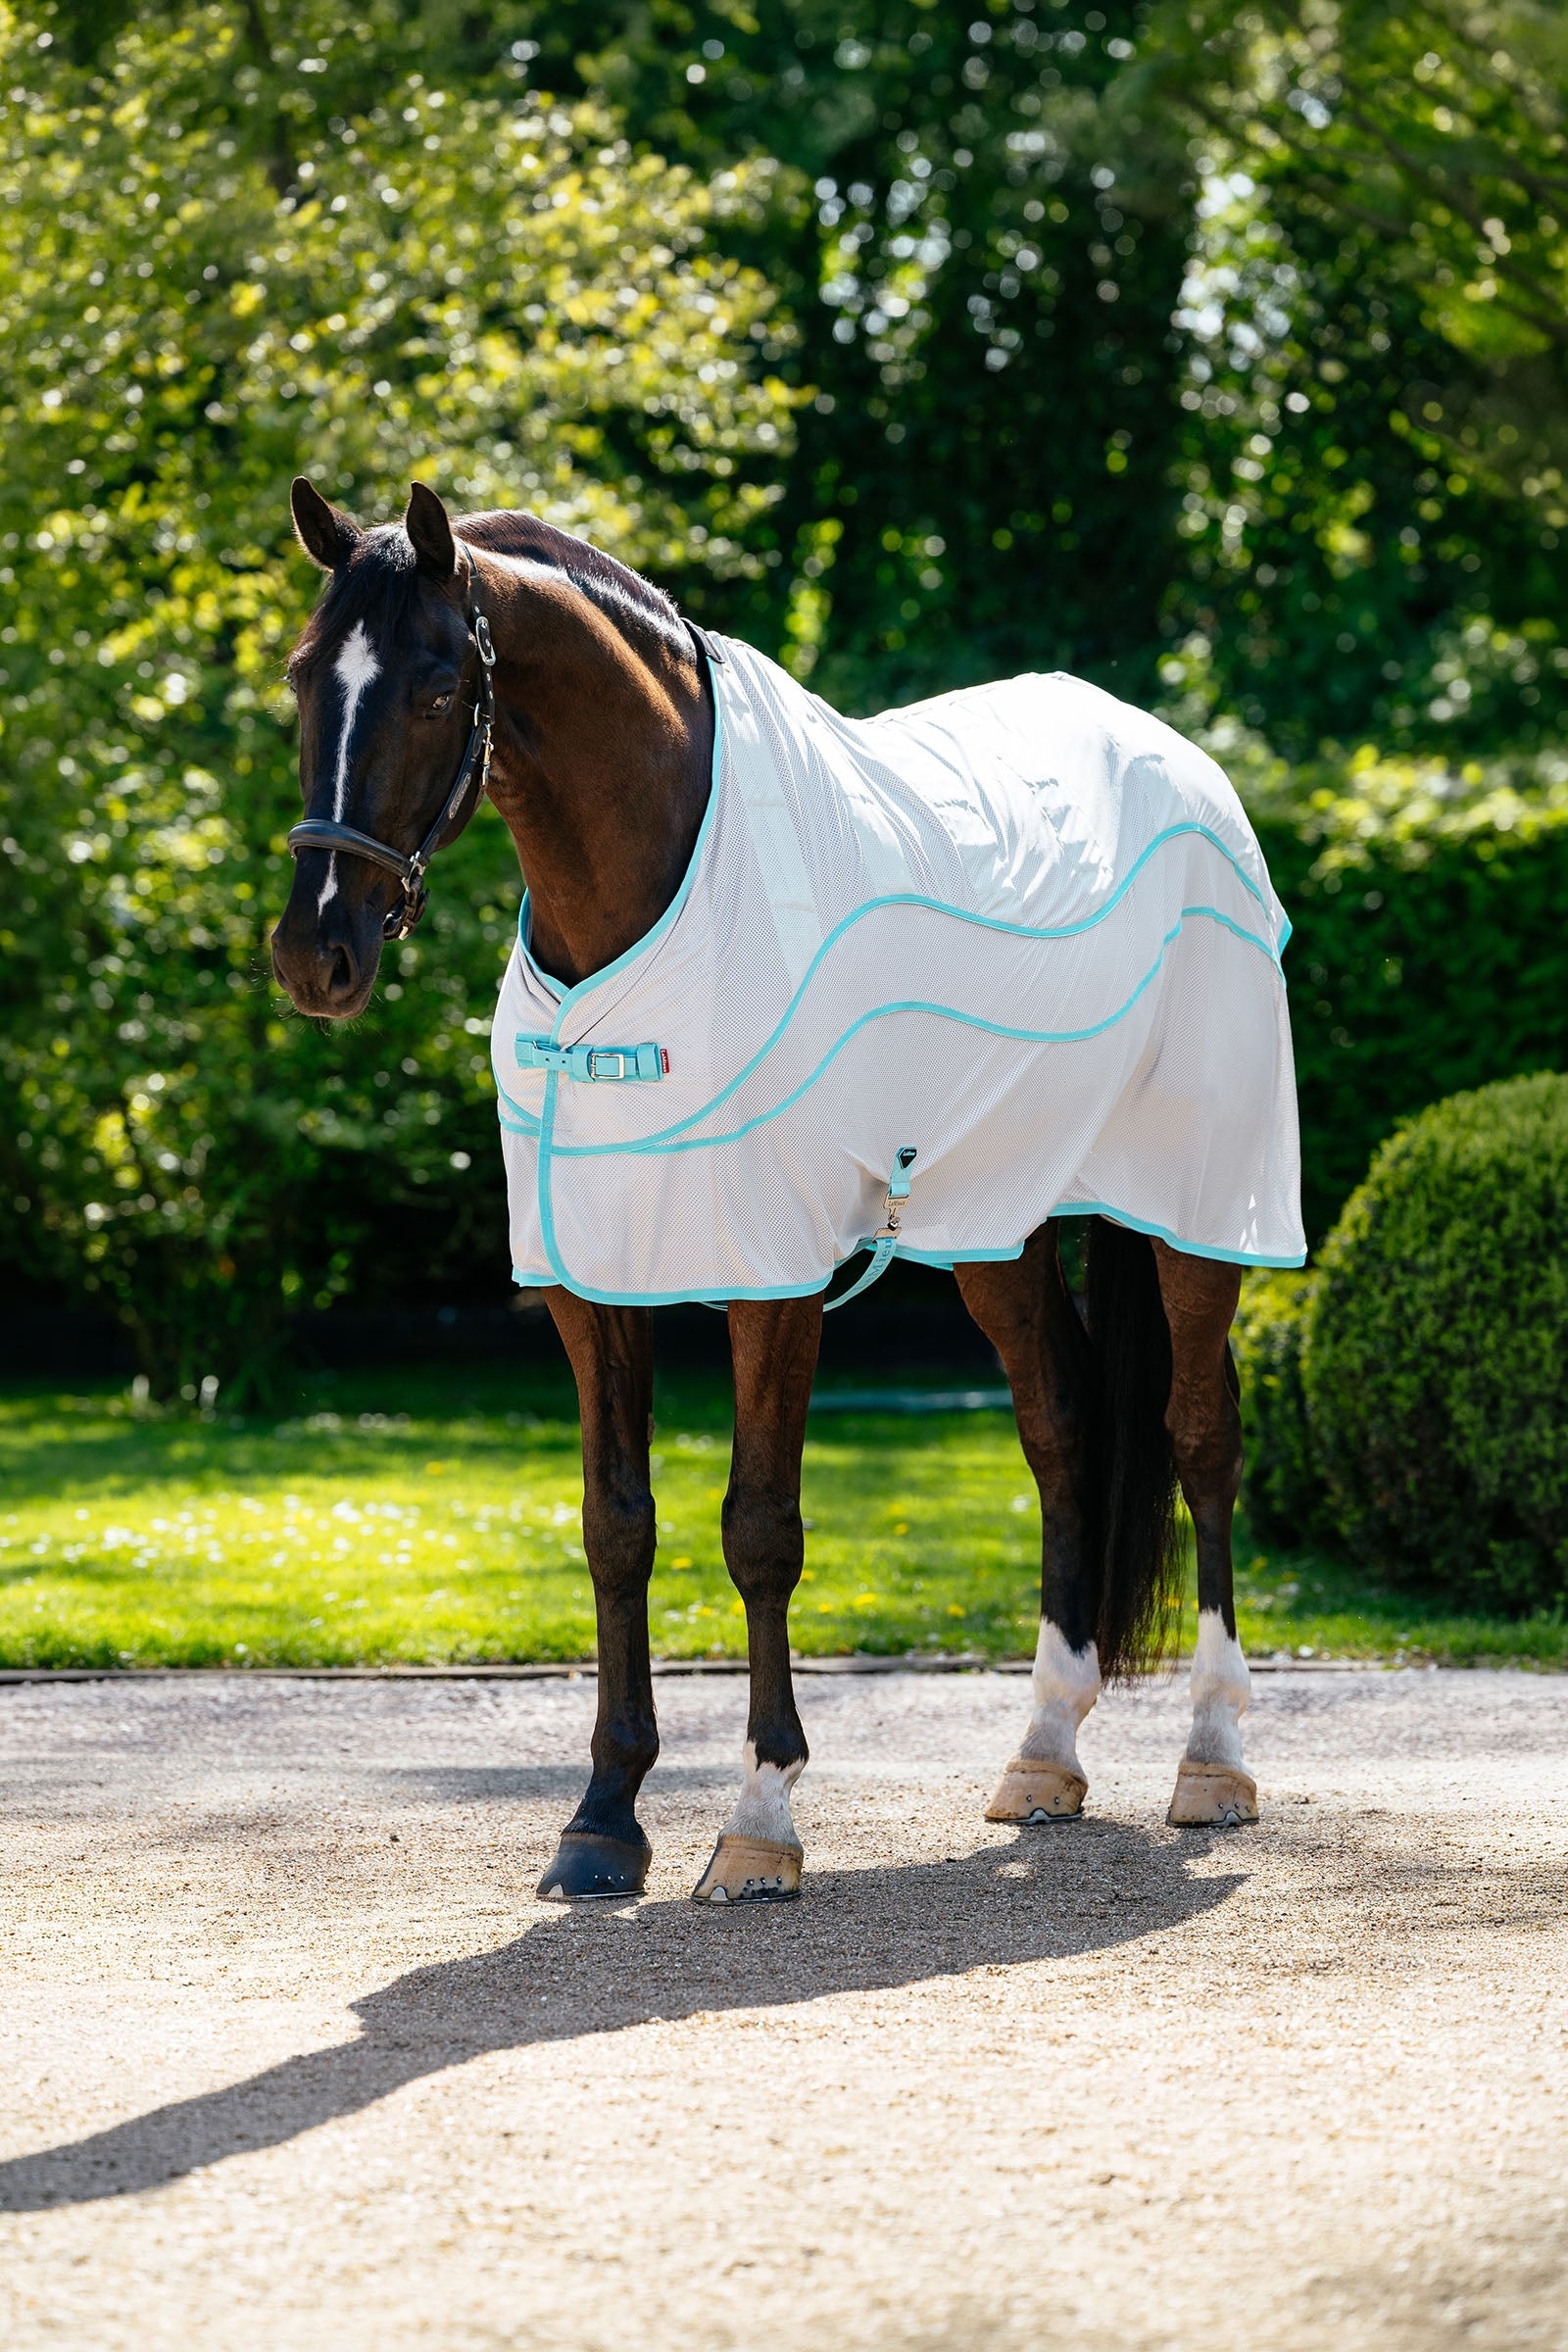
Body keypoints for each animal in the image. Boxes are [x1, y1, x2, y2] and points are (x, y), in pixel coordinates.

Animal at [272, 476, 1304, 1904]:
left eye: (434, 685)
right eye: (303, 676)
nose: (316, 951)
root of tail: (1179, 761)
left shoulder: (773, 1275)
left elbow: (758, 1527)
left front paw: (759, 1820)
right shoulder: (594, 1280)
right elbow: (616, 1528)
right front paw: (603, 1820)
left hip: (1198, 1208)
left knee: (1201, 1434)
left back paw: (1213, 1758)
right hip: (998, 1227)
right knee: (1061, 1427)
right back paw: (1043, 1753)